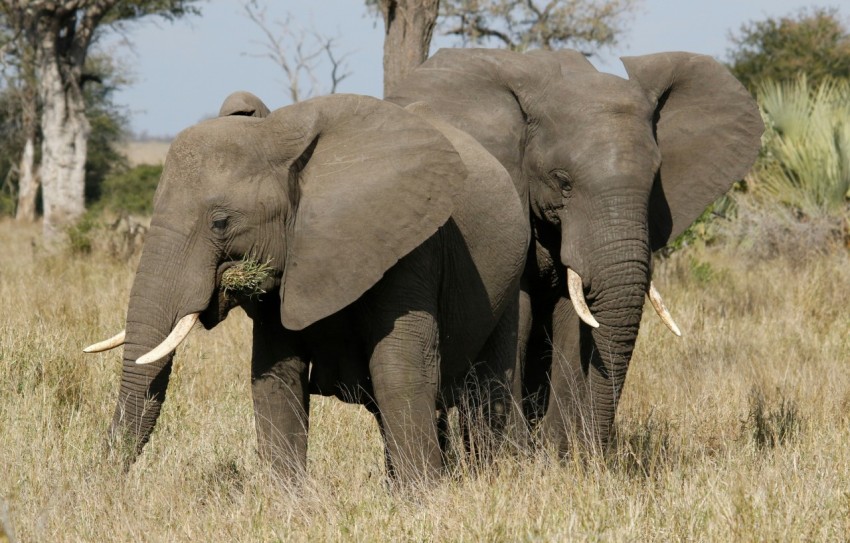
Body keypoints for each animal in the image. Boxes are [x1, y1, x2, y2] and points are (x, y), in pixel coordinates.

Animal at [83, 91, 528, 486]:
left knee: (486, 387)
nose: (104, 485)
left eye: (221, 222)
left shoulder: (411, 244)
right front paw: (289, 503)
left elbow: (399, 369)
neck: (281, 137)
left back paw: (485, 477)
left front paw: (421, 499)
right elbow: (274, 376)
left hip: (510, 281)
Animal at [388, 47, 764, 454]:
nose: (599, 448)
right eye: (562, 182)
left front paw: (560, 454)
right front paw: (517, 454)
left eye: (655, 180)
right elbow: (518, 311)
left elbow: (573, 320)